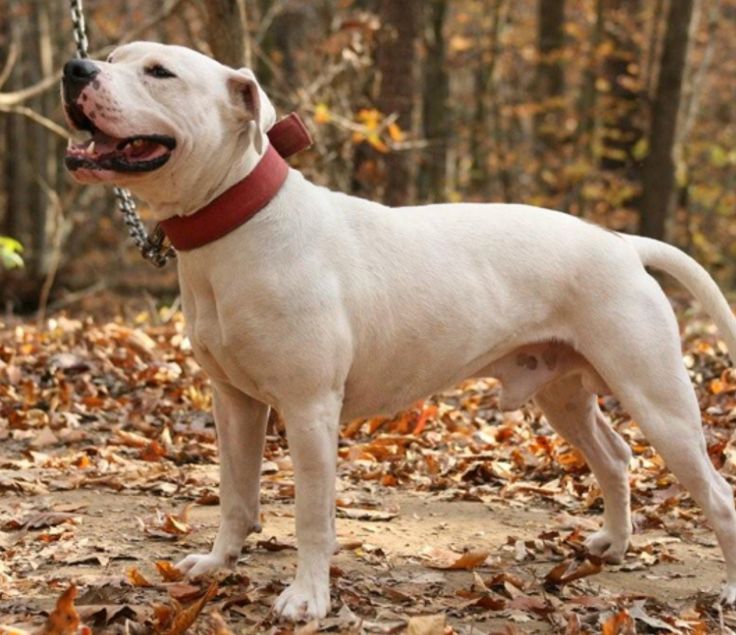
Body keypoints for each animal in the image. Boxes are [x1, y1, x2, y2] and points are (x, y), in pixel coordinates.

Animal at [60, 42, 736, 620]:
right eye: (113, 56)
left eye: (159, 72)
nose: (76, 67)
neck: (235, 225)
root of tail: (621, 243)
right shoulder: (235, 404)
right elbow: (235, 494)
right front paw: (217, 562)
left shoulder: (309, 410)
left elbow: (311, 516)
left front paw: (307, 599)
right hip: (562, 392)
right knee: (614, 457)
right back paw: (613, 544)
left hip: (659, 399)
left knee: (716, 494)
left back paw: (725, 586)